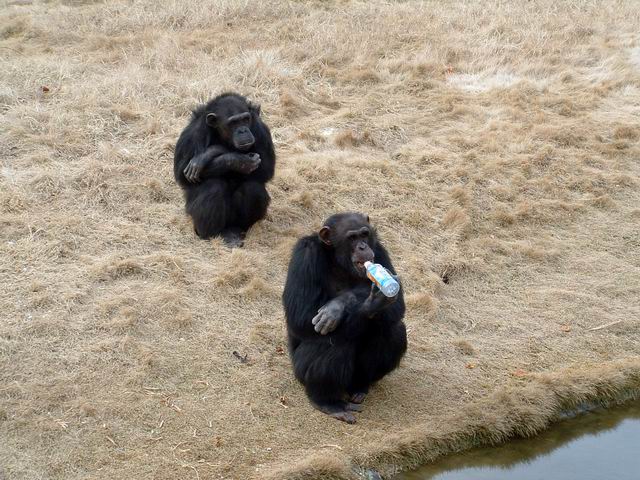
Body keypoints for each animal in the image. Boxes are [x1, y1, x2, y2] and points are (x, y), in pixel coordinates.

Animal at [174, 93, 274, 246]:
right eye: (233, 123)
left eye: (245, 119)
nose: (243, 130)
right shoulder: (193, 134)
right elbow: (182, 174)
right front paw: (238, 160)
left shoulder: (259, 128)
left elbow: (267, 167)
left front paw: (210, 153)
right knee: (213, 186)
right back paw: (211, 233)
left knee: (253, 188)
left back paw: (236, 231)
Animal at [284, 212, 408, 422]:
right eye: (352, 238)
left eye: (364, 234)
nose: (362, 247)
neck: (337, 261)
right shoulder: (306, 255)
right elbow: (300, 316)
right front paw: (366, 303)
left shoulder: (379, 250)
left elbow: (397, 305)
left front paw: (342, 304)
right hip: (299, 371)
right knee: (334, 340)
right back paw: (327, 402)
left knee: (393, 329)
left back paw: (360, 387)